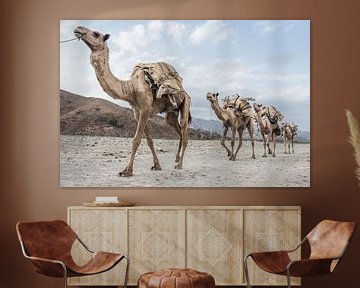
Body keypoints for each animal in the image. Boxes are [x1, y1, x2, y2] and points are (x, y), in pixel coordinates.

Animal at [73, 25, 191, 177]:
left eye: (96, 34)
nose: (78, 29)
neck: (131, 87)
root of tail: (183, 90)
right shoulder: (137, 111)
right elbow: (149, 140)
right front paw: (157, 165)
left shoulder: (146, 109)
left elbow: (136, 140)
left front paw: (127, 170)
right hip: (171, 112)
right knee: (178, 131)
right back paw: (176, 160)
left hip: (186, 102)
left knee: (184, 131)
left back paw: (180, 164)